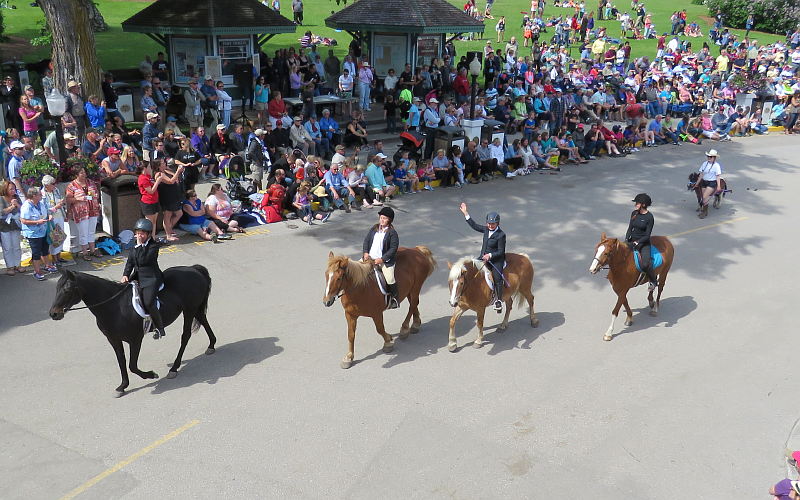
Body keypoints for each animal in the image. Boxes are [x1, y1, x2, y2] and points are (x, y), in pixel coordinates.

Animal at [51, 264, 217, 396]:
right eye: (56, 287)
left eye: (67, 289)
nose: (53, 314)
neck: (114, 306)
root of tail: (194, 269)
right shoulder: (114, 339)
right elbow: (122, 361)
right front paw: (122, 386)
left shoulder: (135, 339)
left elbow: (132, 365)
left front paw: (151, 375)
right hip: (194, 308)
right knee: (203, 320)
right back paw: (211, 345)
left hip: (189, 310)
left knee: (185, 335)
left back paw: (174, 368)